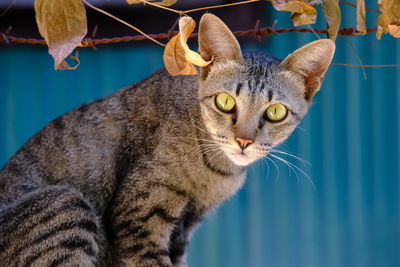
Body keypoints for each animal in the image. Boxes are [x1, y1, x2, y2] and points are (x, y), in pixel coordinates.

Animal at [0, 13, 334, 267]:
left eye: (276, 111)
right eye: (225, 102)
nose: (243, 141)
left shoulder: (183, 230)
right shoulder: (138, 220)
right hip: (64, 202)